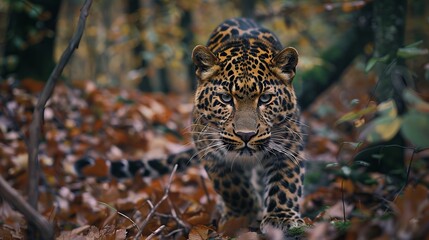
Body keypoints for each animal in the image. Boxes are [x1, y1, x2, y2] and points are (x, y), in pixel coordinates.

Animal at [77, 17, 304, 238]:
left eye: (265, 98)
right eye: (225, 98)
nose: (245, 135)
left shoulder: (289, 146)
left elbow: (285, 183)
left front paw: (280, 217)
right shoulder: (210, 152)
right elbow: (232, 186)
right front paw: (243, 213)